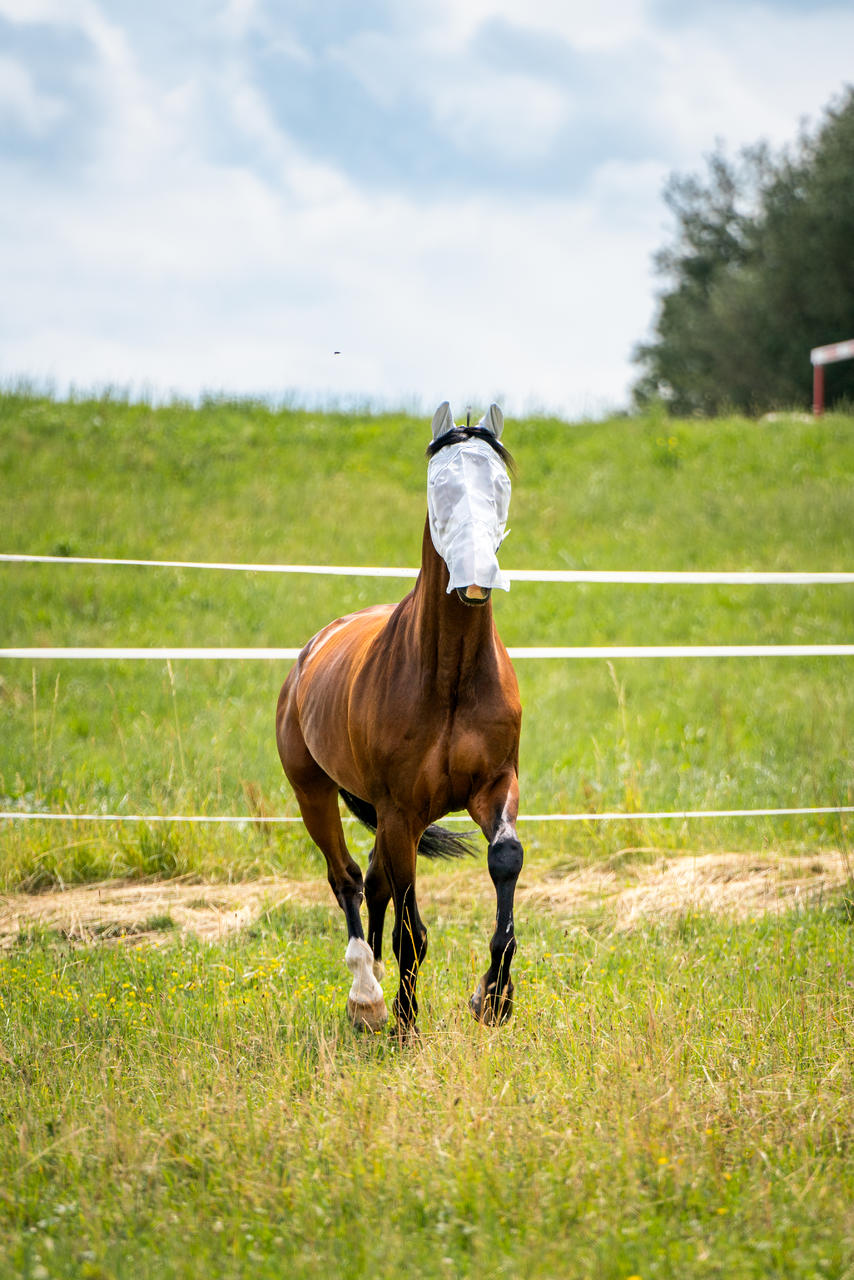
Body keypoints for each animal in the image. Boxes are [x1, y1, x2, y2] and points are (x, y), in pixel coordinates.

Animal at [277, 399, 524, 1029]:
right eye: (438, 485)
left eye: (502, 482)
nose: (477, 576)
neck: (450, 678)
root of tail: (310, 654)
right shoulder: (400, 811)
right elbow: (412, 931)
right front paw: (406, 1024)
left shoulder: (495, 785)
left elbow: (504, 862)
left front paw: (493, 999)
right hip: (314, 793)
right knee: (346, 878)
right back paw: (367, 1000)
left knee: (371, 877)